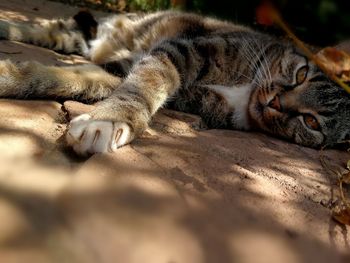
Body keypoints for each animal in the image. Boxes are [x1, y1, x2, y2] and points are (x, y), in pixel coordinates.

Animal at [0, 10, 348, 155]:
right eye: (301, 74)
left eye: (312, 122)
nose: (275, 101)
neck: (246, 92)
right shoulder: (181, 51)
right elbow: (145, 84)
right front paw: (110, 119)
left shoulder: (182, 93)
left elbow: (78, 79)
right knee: (51, 28)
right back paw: (9, 27)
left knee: (61, 35)